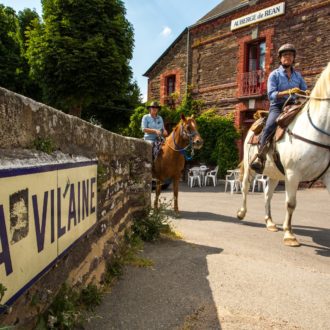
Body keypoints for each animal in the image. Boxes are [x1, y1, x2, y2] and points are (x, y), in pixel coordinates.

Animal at [237, 63, 330, 246]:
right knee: (245, 187)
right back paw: (241, 213)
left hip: (274, 173)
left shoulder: (328, 175)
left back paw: (270, 222)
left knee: (267, 194)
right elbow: (290, 203)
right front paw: (289, 235)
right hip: (251, 167)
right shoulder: (293, 174)